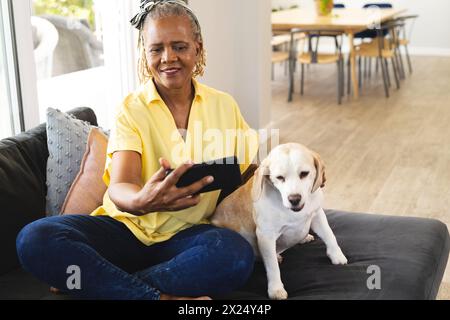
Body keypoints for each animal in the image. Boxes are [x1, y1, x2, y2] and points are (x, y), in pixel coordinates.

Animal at [211, 143, 348, 300]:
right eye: (280, 177)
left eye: (304, 173)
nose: (294, 199)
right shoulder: (266, 236)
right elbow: (272, 267)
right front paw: (276, 289)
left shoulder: (317, 214)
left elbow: (330, 235)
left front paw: (336, 254)